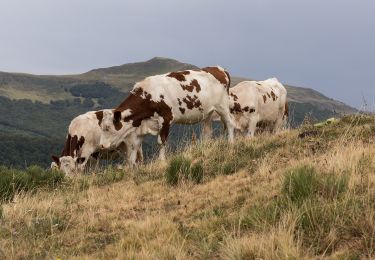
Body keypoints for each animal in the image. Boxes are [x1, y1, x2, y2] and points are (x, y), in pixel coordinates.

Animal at [100, 66, 235, 166]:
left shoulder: (166, 118)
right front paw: (132, 168)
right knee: (207, 132)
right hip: (207, 113)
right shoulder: (140, 127)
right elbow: (134, 148)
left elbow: (161, 142)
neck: (149, 95)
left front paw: (161, 161)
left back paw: (231, 143)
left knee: (230, 123)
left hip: (222, 106)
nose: (101, 145)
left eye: (107, 128)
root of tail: (219, 69)